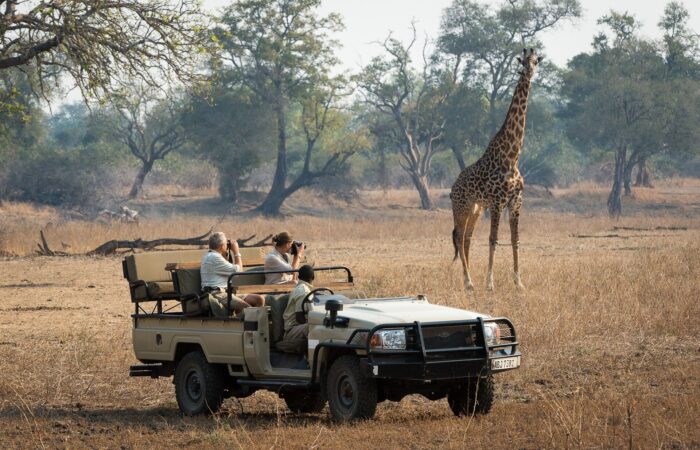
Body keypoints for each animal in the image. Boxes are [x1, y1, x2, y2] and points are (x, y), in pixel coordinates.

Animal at [448, 46, 540, 292]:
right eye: (523, 61)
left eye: (536, 61)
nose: (528, 72)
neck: (512, 157)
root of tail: (452, 188)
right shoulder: (498, 202)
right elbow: (493, 239)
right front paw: (490, 284)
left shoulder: (516, 201)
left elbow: (515, 240)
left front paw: (519, 283)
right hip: (461, 206)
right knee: (459, 236)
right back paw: (470, 282)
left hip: (476, 208)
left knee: (467, 238)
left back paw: (468, 281)